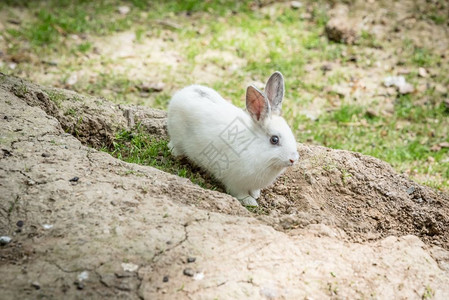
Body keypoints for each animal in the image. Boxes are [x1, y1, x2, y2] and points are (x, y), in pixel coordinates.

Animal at [166, 72, 300, 206]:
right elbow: (240, 193)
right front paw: (250, 201)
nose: (293, 159)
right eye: (274, 139)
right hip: (177, 137)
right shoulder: (235, 182)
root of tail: (182, 93)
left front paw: (256, 195)